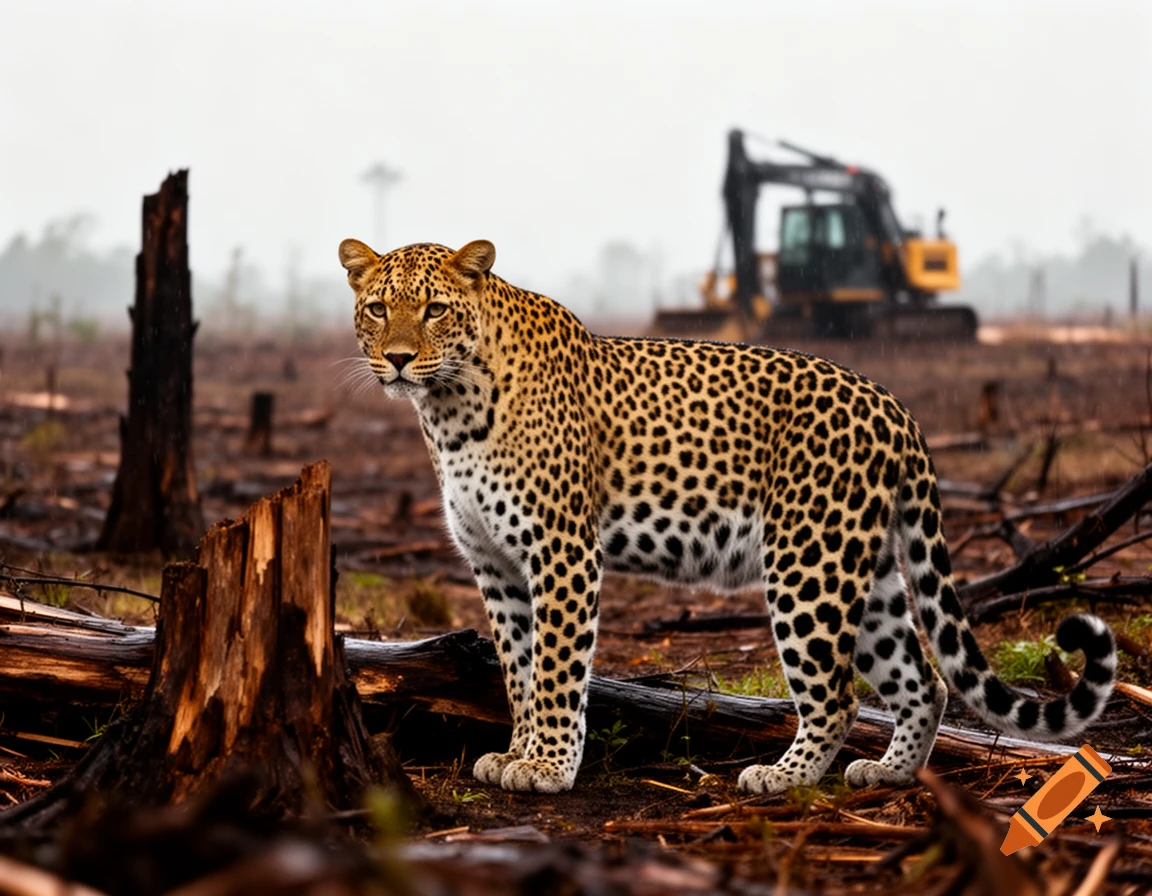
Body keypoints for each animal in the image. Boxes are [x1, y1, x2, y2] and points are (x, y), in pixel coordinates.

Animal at [340, 236, 1116, 795]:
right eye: (377, 309)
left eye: (435, 310)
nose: (399, 359)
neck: (447, 411)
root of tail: (894, 406)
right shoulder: (496, 566)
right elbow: (518, 672)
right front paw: (516, 752)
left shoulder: (561, 552)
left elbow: (558, 668)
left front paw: (550, 768)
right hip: (865, 568)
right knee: (921, 676)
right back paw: (890, 772)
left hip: (808, 561)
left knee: (836, 692)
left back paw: (783, 777)